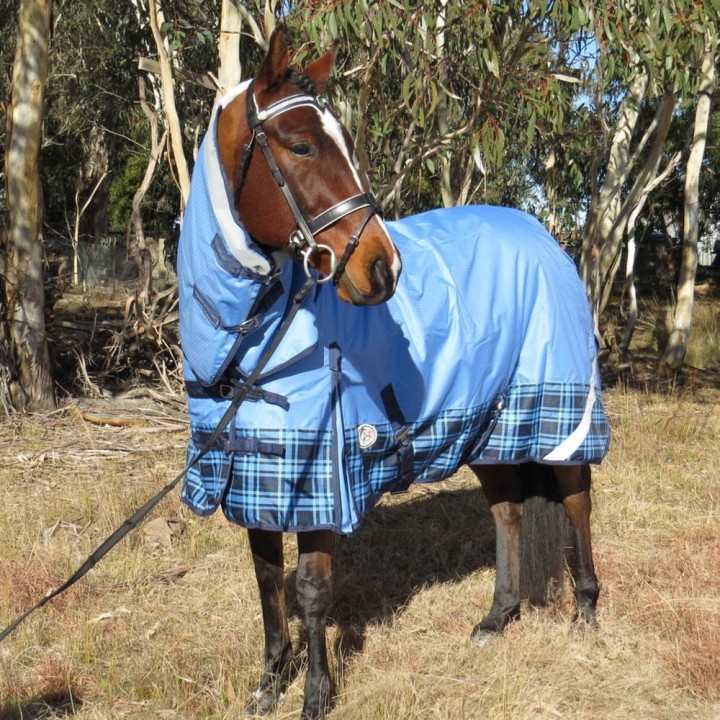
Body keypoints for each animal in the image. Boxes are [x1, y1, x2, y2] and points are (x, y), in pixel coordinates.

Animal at [176, 29, 609, 720]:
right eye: (301, 145)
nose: (383, 269)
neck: (248, 343)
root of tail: (546, 238)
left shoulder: (321, 481)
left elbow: (311, 589)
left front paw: (316, 695)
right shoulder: (250, 474)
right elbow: (267, 581)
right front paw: (269, 682)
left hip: (558, 416)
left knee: (575, 499)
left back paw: (586, 614)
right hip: (484, 428)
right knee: (509, 513)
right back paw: (496, 618)